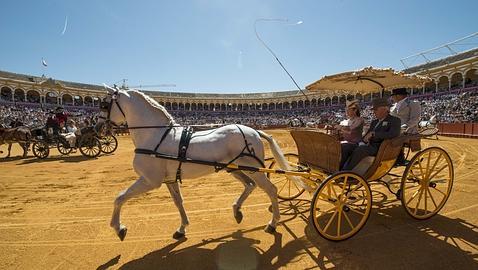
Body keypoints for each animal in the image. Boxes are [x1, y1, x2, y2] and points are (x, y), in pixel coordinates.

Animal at [98, 86, 292, 240]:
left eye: (104, 105)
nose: (97, 127)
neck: (155, 135)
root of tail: (254, 131)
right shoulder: (169, 180)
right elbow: (178, 202)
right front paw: (181, 228)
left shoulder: (150, 181)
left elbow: (120, 197)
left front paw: (119, 228)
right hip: (235, 168)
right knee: (250, 185)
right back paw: (237, 211)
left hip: (253, 168)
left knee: (271, 189)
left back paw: (272, 223)